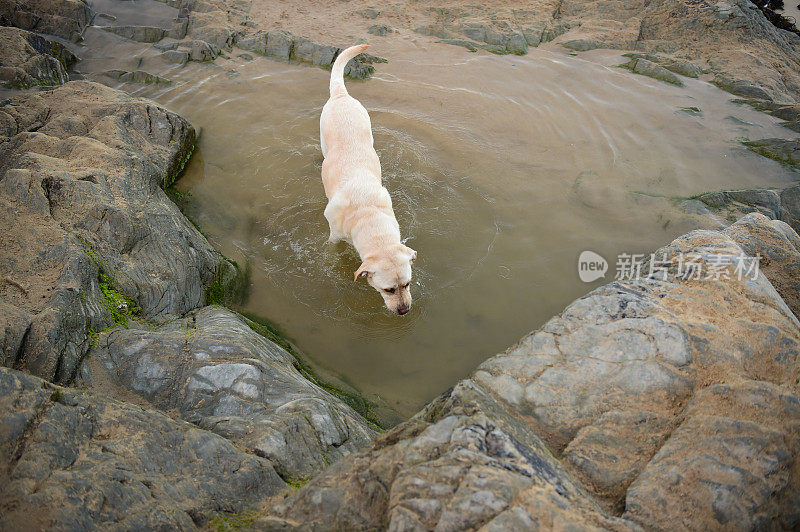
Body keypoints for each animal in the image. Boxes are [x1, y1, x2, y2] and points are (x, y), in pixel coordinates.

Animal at [320, 44, 418, 316]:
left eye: (407, 284)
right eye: (388, 290)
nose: (404, 311)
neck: (366, 214)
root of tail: (341, 95)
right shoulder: (334, 234)